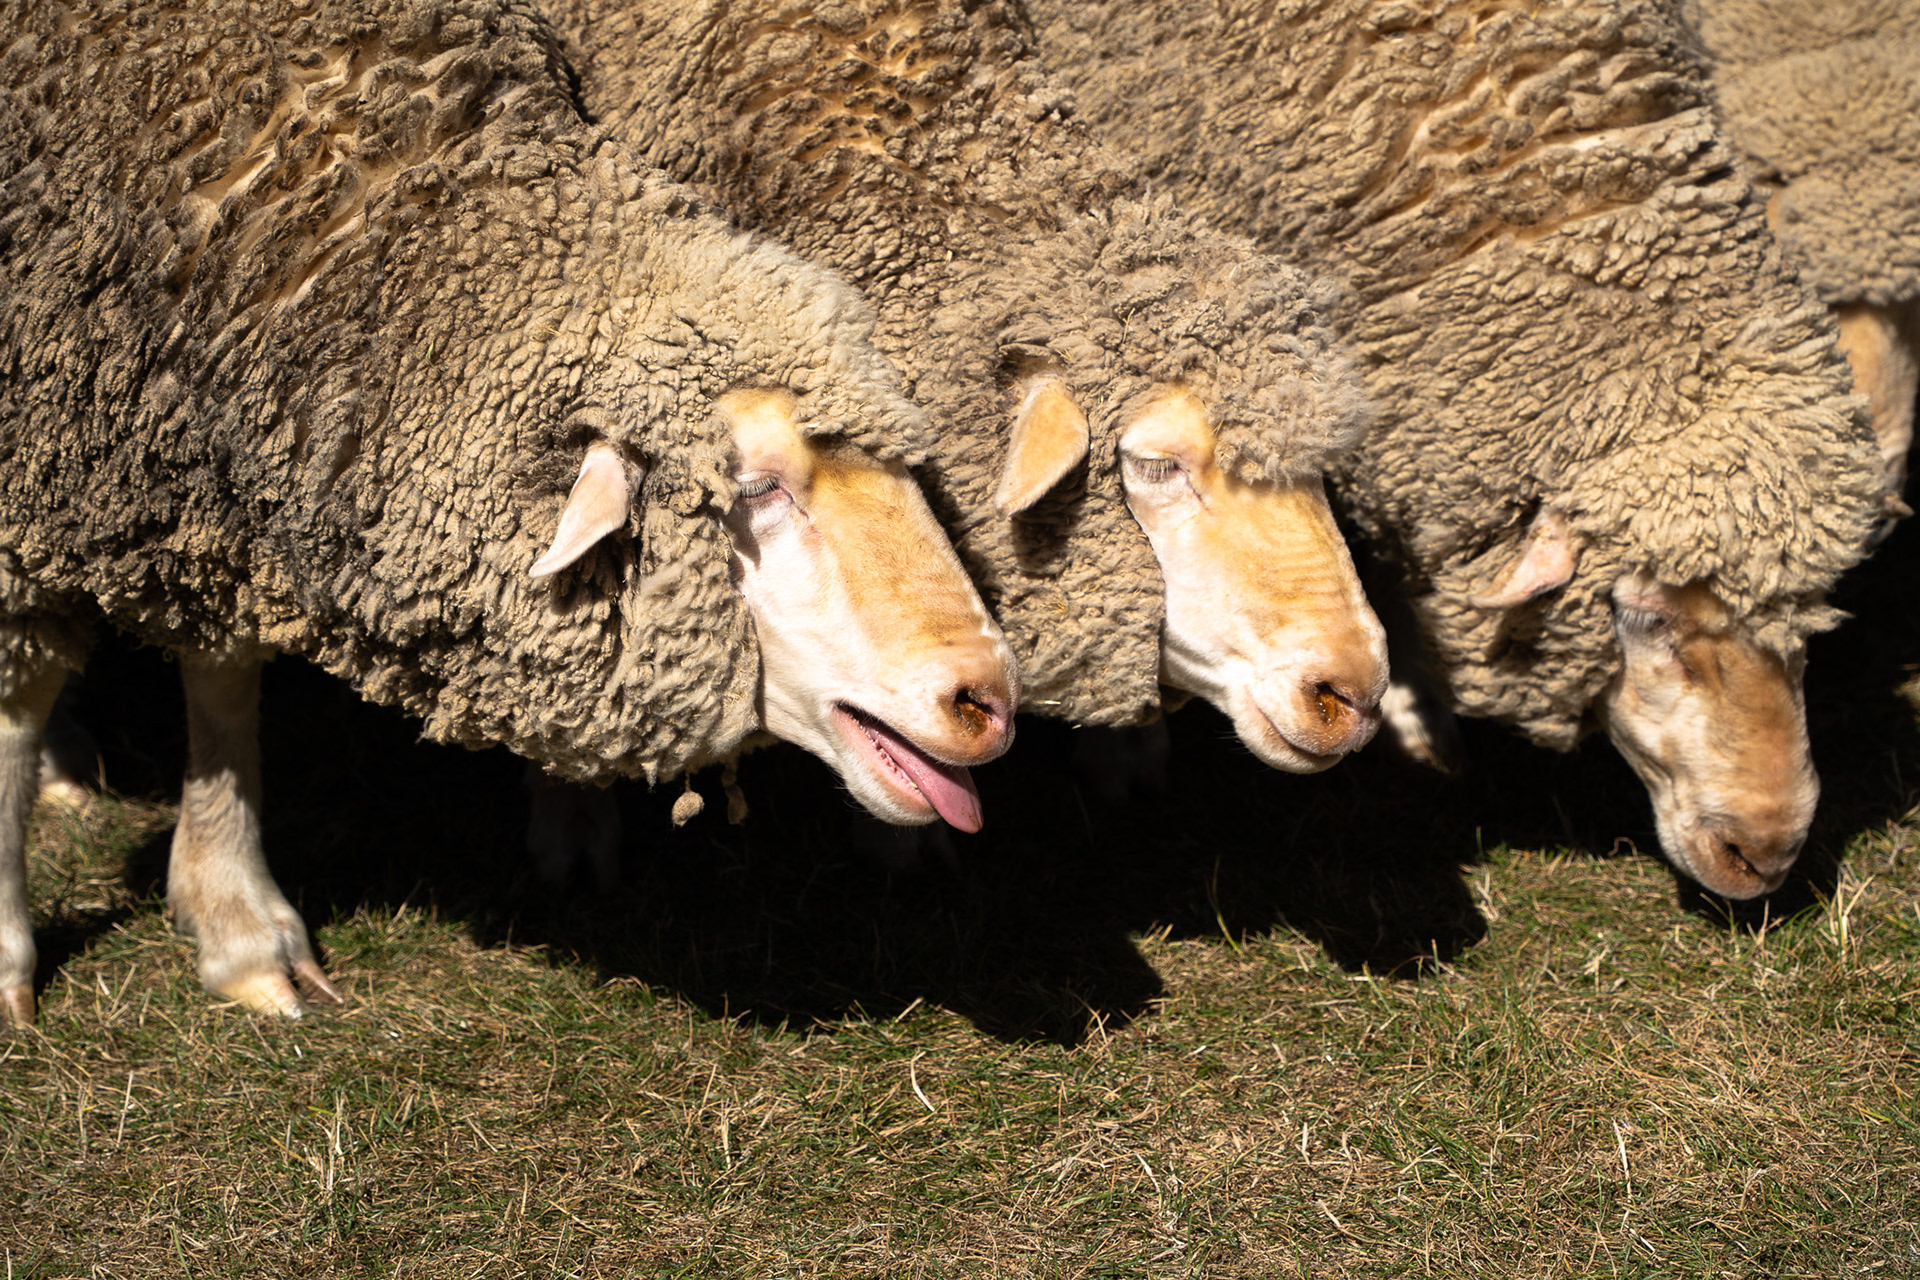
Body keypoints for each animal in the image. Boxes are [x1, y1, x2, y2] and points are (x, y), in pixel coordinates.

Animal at [0, 0, 1020, 1025]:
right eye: (755, 486)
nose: (989, 699)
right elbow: (18, 710)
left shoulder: (213, 490)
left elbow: (220, 677)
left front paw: (233, 916)